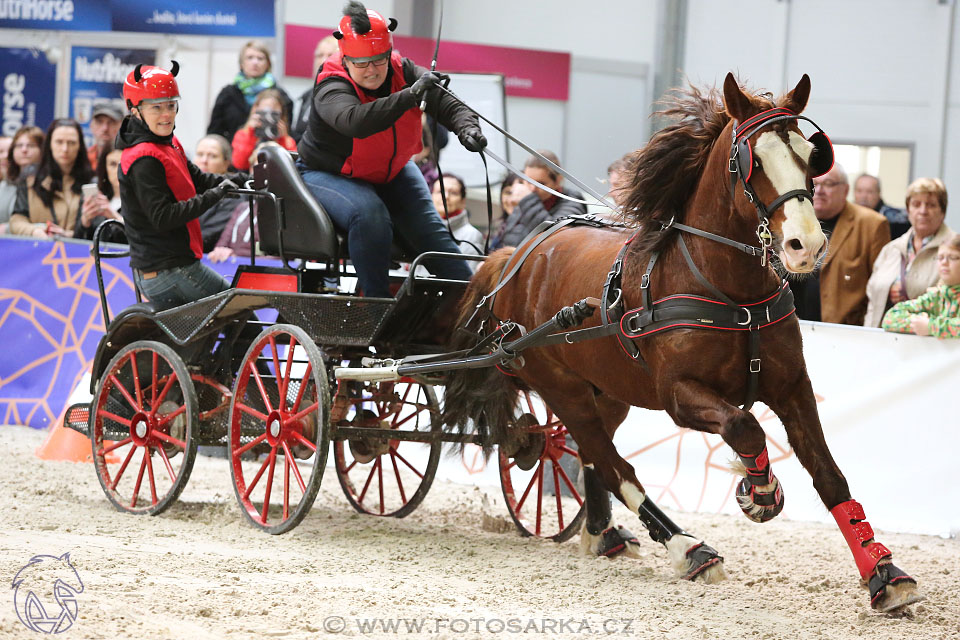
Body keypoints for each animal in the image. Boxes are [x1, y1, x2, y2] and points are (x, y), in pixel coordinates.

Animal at [442, 72, 924, 612]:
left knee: (592, 452)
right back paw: (687, 547)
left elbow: (829, 474)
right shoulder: (678, 395)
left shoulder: (792, 386)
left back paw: (603, 533)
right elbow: (744, 428)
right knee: (613, 463)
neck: (730, 292)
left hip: (608, 391)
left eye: (810, 154)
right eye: (752, 161)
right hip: (562, 387)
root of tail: (515, 256)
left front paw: (882, 570)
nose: (808, 246)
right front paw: (759, 492)